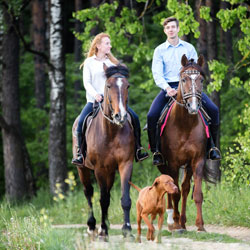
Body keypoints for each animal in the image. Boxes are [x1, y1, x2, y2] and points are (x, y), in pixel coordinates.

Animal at [72, 63, 135, 239]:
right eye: (108, 86)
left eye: (127, 86)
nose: (120, 116)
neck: (111, 131)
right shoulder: (99, 168)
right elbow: (103, 199)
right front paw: (104, 231)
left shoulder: (125, 164)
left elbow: (125, 198)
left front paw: (127, 230)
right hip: (83, 169)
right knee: (89, 193)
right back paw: (92, 226)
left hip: (110, 171)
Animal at [158, 54, 217, 232]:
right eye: (183, 79)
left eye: (201, 80)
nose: (193, 106)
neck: (185, 124)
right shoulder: (173, 163)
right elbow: (174, 192)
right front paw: (175, 223)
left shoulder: (197, 160)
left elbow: (196, 193)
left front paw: (200, 225)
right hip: (162, 164)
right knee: (168, 187)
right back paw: (173, 222)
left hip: (188, 166)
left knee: (185, 188)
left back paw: (183, 221)